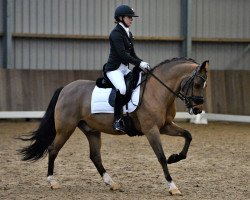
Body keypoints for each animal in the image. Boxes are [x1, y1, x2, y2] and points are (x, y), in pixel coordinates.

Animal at [18, 57, 208, 195]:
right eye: (197, 84)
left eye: (204, 85)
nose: (198, 109)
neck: (157, 91)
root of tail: (65, 88)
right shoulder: (151, 130)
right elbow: (160, 157)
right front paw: (172, 186)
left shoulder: (165, 126)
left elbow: (188, 135)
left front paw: (175, 157)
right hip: (65, 129)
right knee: (53, 150)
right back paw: (53, 182)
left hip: (92, 131)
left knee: (95, 156)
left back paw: (112, 183)